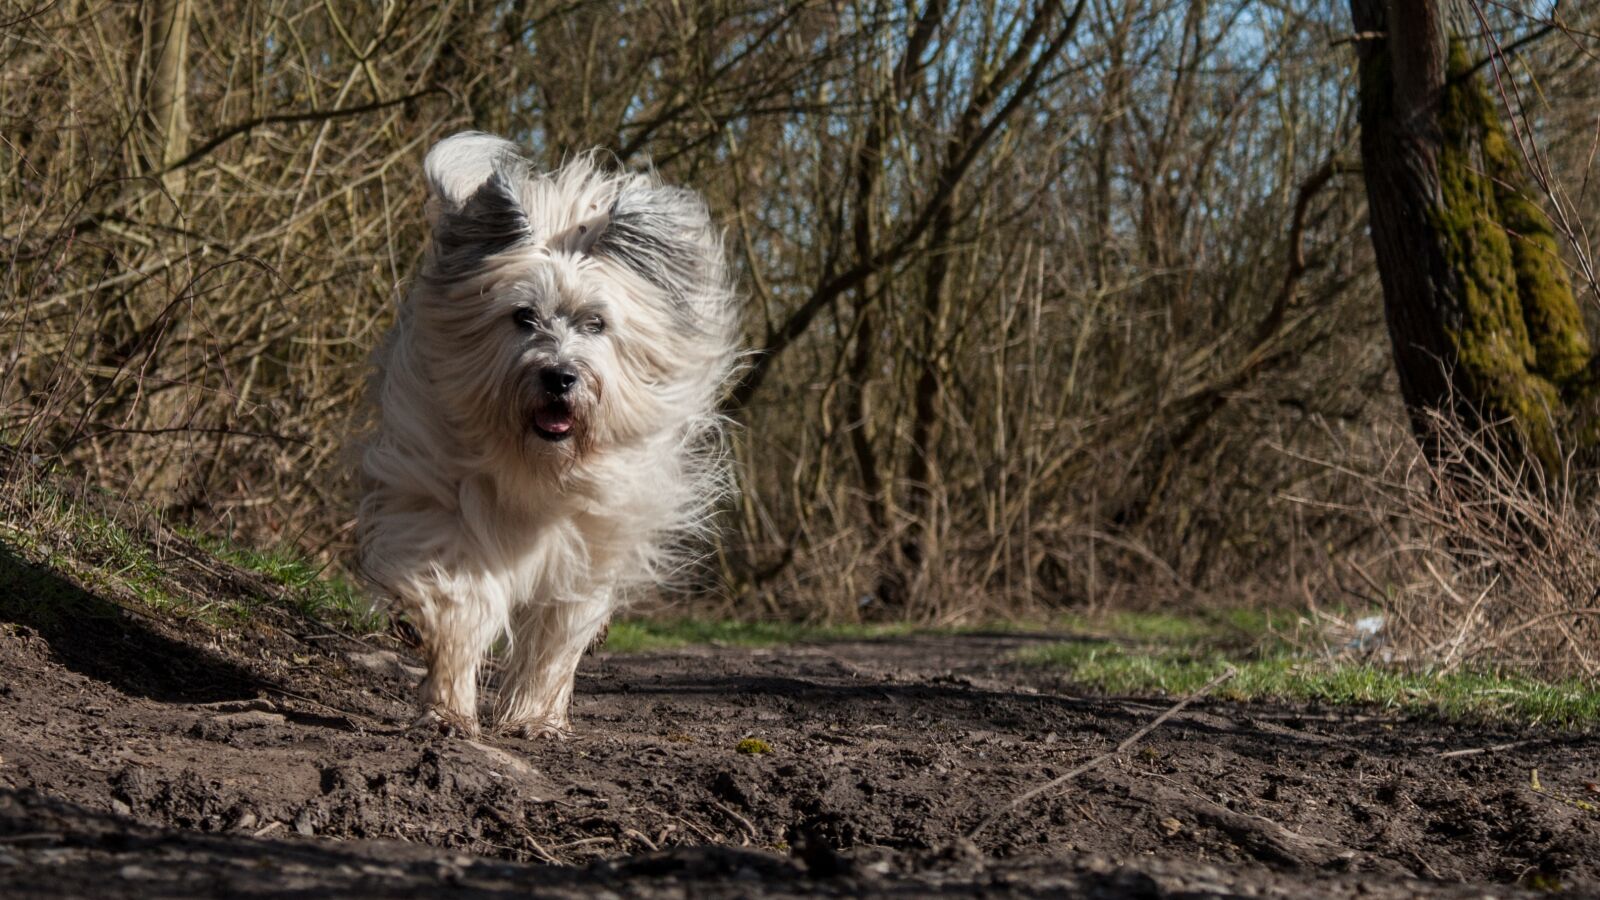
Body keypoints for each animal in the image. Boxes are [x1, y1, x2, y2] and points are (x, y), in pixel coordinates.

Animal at [356, 132, 736, 736]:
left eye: (596, 323)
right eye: (523, 316)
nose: (559, 376)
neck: (537, 464)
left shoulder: (590, 538)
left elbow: (558, 629)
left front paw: (534, 714)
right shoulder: (446, 499)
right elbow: (460, 599)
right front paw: (448, 705)